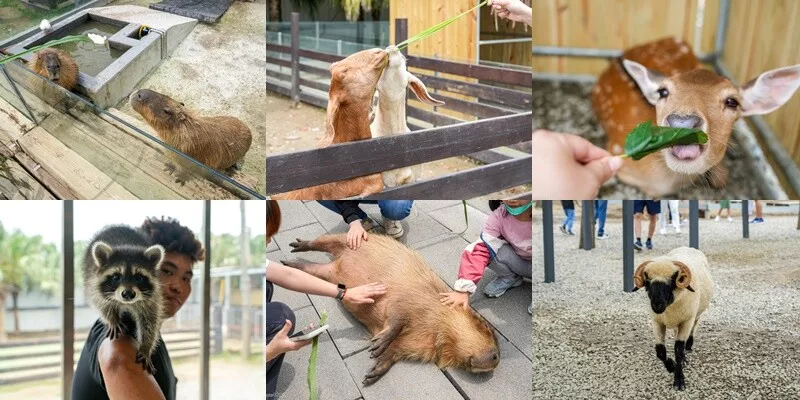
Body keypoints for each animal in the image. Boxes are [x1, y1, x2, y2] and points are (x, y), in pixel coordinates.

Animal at [83, 225, 166, 376]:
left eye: (138, 277)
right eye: (116, 277)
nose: (128, 294)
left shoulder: (152, 297)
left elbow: (150, 319)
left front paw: (146, 346)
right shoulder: (93, 282)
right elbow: (101, 303)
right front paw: (112, 318)